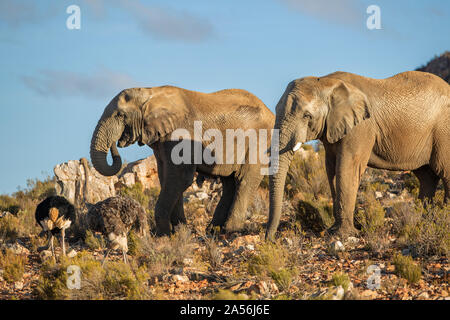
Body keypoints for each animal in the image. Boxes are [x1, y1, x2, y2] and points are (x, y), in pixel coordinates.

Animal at [90, 85, 274, 235]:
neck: (150, 92)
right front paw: (180, 232)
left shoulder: (180, 135)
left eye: (120, 115)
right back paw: (213, 230)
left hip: (260, 141)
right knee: (229, 183)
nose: (115, 143)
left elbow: (180, 178)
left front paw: (163, 235)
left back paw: (229, 230)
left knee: (244, 180)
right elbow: (167, 179)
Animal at [266, 70, 450, 240]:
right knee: (427, 177)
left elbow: (347, 168)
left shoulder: (361, 128)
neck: (326, 81)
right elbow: (331, 170)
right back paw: (424, 223)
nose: (270, 238)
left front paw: (342, 235)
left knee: (444, 172)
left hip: (443, 131)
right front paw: (333, 231)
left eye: (307, 116)